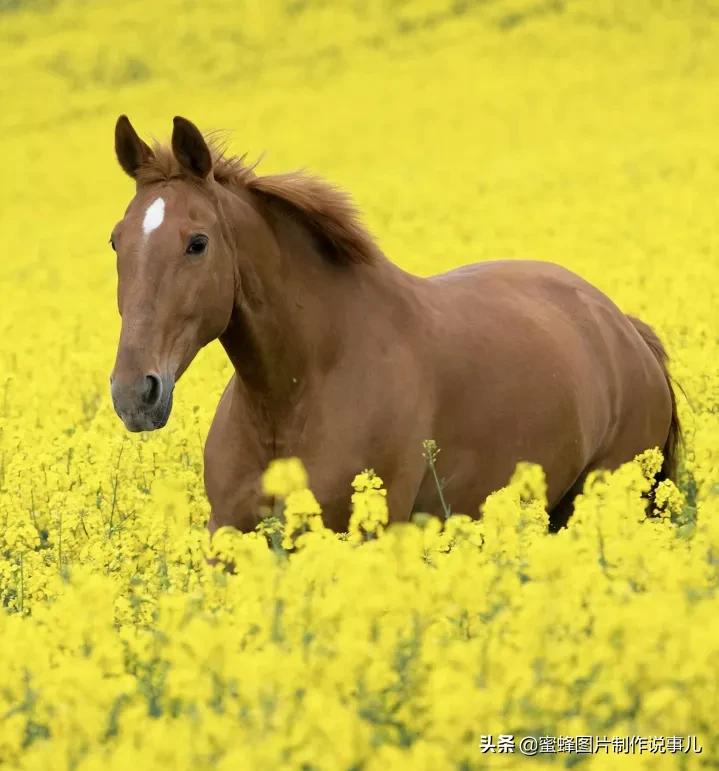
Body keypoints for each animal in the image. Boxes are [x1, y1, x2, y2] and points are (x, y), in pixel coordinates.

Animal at [108, 116, 680, 536]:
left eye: (197, 242)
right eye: (116, 240)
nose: (135, 393)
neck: (295, 394)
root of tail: (624, 328)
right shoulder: (228, 535)